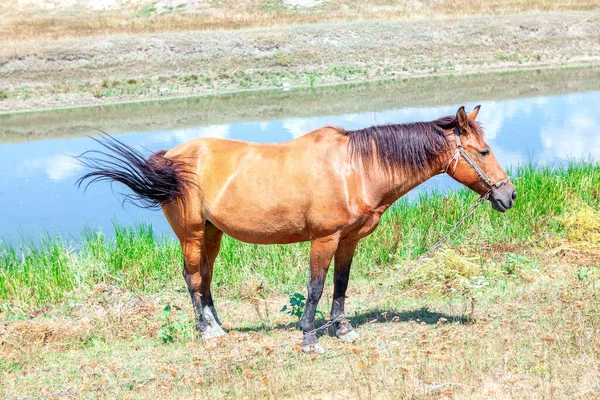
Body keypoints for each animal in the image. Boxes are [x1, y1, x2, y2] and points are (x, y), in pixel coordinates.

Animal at [76, 106, 516, 354]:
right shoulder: (323, 239)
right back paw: (207, 332)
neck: (355, 168)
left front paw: (342, 329)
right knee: (191, 277)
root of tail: (171, 156)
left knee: (206, 276)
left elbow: (340, 284)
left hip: (213, 234)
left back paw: (218, 325)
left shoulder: (348, 240)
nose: (508, 195)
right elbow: (316, 287)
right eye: (482, 151)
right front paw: (309, 338)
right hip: (192, 235)